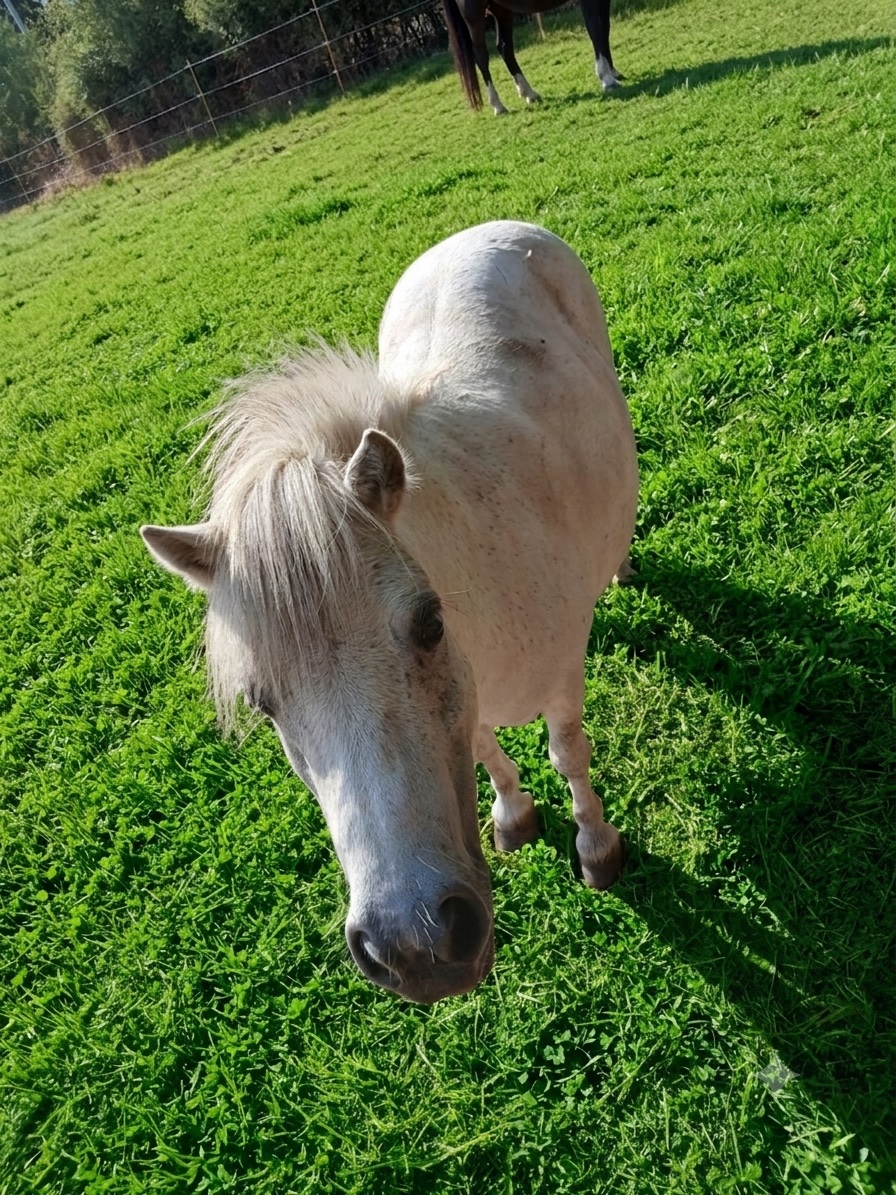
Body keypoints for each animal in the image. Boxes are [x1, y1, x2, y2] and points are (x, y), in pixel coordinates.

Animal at [141, 221, 638, 1004]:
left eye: (430, 624)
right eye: (261, 702)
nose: (416, 946)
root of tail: (479, 230)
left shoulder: (561, 677)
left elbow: (569, 754)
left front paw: (595, 847)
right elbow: (486, 752)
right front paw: (513, 816)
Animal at [443, 0, 623, 116]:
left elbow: (604, 27)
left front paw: (613, 72)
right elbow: (595, 28)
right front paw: (606, 79)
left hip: (501, 10)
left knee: (505, 48)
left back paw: (529, 93)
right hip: (474, 16)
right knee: (481, 57)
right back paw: (498, 106)